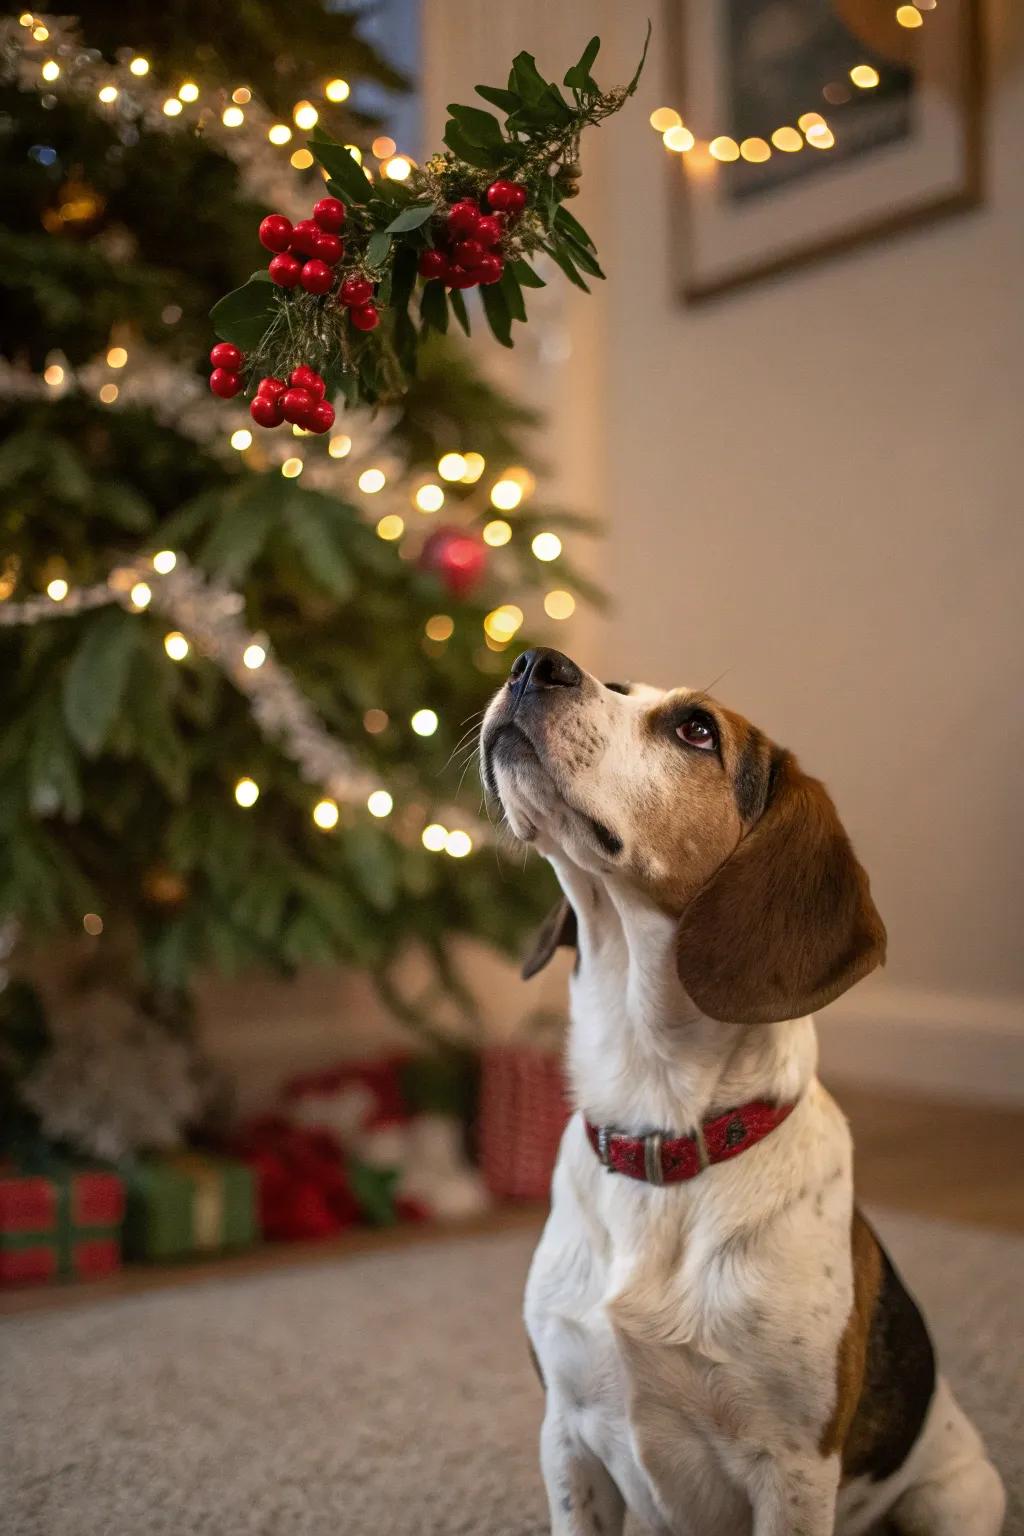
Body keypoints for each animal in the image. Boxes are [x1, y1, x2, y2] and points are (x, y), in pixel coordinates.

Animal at [485, 651, 1007, 1536]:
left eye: (697, 731)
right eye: (617, 687)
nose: (532, 661)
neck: (663, 1139)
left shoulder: (793, 1468)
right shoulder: (568, 1438)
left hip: (959, 1493)